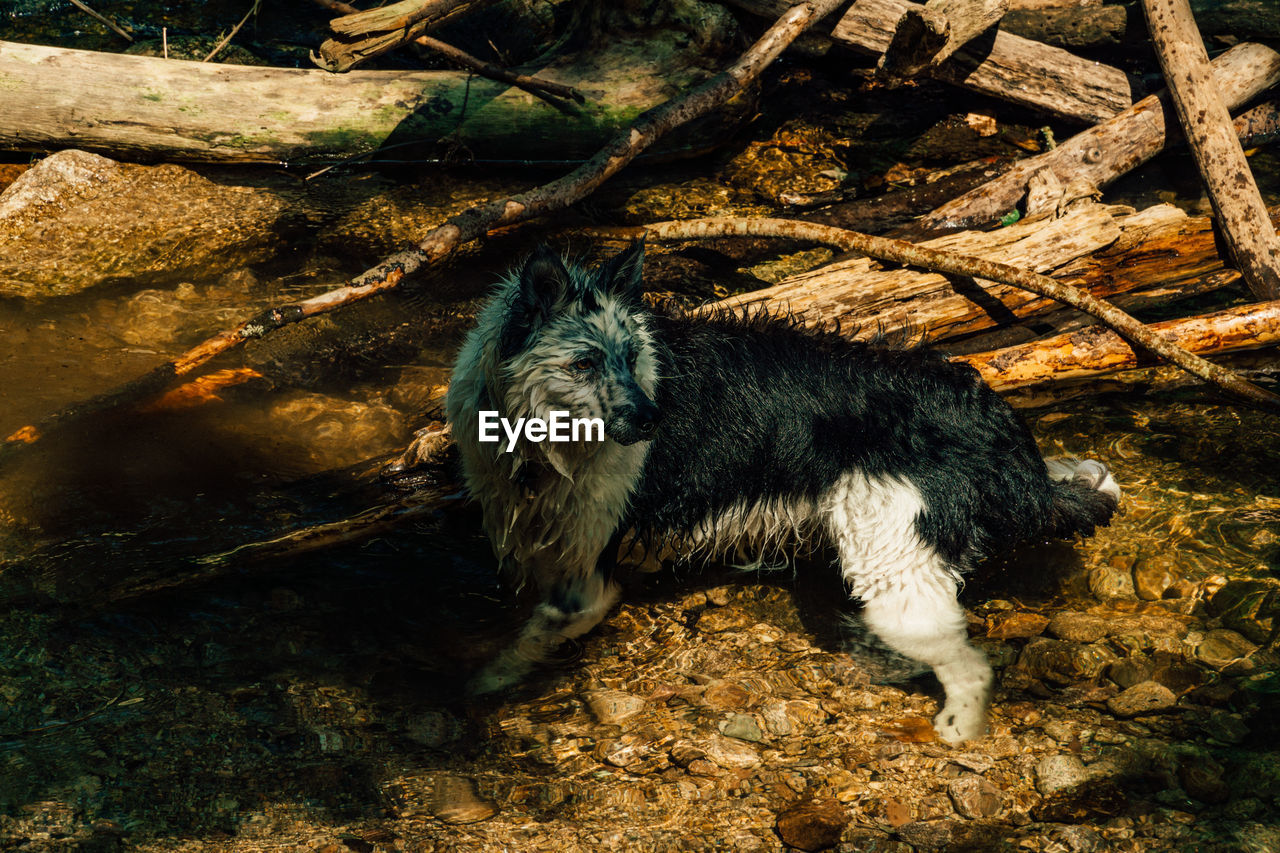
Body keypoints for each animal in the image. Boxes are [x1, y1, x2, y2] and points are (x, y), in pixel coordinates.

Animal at [442, 236, 1121, 737]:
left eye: (631, 358)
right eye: (583, 363)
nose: (653, 420)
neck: (543, 438)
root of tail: (988, 413)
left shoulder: (587, 580)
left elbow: (531, 636)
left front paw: (480, 684)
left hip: (891, 565)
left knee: (970, 665)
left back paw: (956, 732)